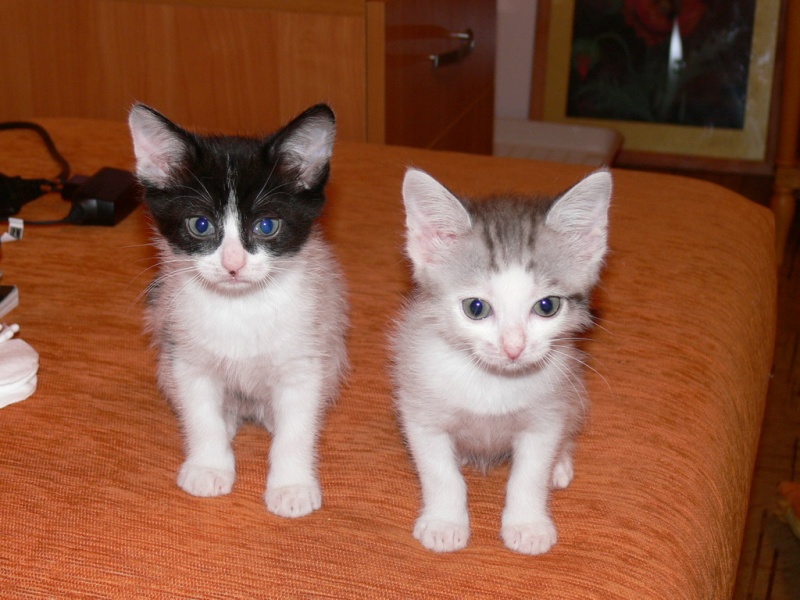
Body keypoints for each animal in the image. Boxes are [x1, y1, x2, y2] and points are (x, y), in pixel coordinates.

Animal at [128, 103, 348, 518]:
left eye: (267, 225)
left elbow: (297, 427)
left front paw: (292, 485)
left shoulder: (304, 359)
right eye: (200, 225)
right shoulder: (187, 355)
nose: (233, 265)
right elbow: (201, 414)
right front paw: (208, 466)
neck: (240, 307)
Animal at [392, 167, 611, 554]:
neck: (492, 381)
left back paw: (560, 462)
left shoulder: (546, 415)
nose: (513, 347)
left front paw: (527, 525)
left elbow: (530, 474)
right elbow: (439, 472)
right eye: (475, 307)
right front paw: (444, 522)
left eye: (547, 306)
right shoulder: (420, 409)